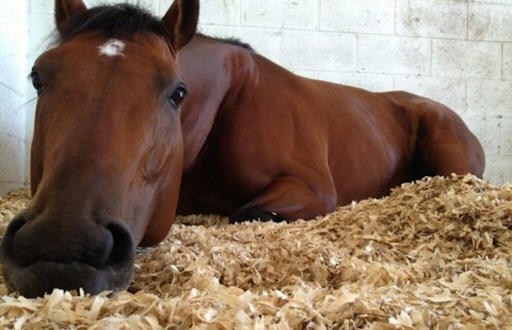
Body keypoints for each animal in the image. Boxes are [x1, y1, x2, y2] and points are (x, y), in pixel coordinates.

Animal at [1, 0, 484, 298]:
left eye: (177, 92)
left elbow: (246, 213)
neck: (227, 104)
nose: (61, 244)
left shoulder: (310, 189)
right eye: (38, 76)